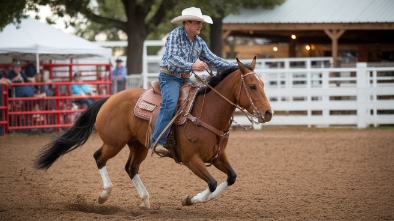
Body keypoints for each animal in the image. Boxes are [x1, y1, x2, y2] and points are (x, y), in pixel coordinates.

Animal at [34, 57, 270, 207]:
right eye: (251, 86)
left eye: (263, 84)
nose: (268, 113)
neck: (207, 113)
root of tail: (110, 98)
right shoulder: (191, 159)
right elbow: (211, 183)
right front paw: (190, 200)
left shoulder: (218, 156)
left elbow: (231, 178)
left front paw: (197, 199)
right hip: (114, 143)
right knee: (99, 157)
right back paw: (104, 195)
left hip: (138, 145)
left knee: (130, 168)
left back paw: (145, 199)